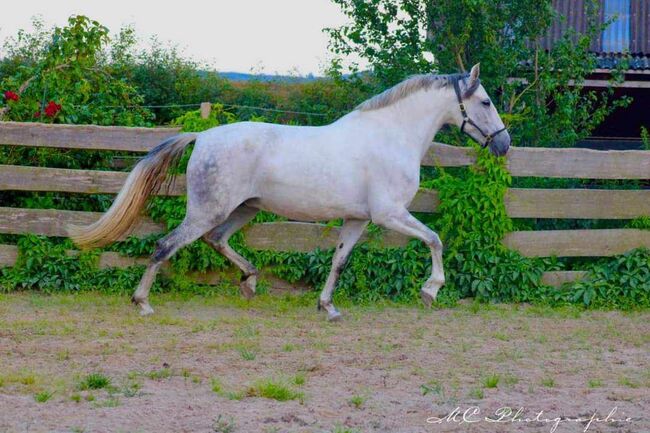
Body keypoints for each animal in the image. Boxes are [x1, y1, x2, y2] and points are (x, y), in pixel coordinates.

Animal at [68, 65, 508, 320]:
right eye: (486, 101)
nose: (504, 144)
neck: (390, 136)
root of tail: (203, 136)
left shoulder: (358, 219)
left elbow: (339, 262)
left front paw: (328, 307)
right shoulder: (389, 214)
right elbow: (435, 239)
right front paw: (430, 291)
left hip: (242, 209)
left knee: (216, 240)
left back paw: (249, 282)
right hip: (209, 210)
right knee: (165, 245)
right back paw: (143, 303)